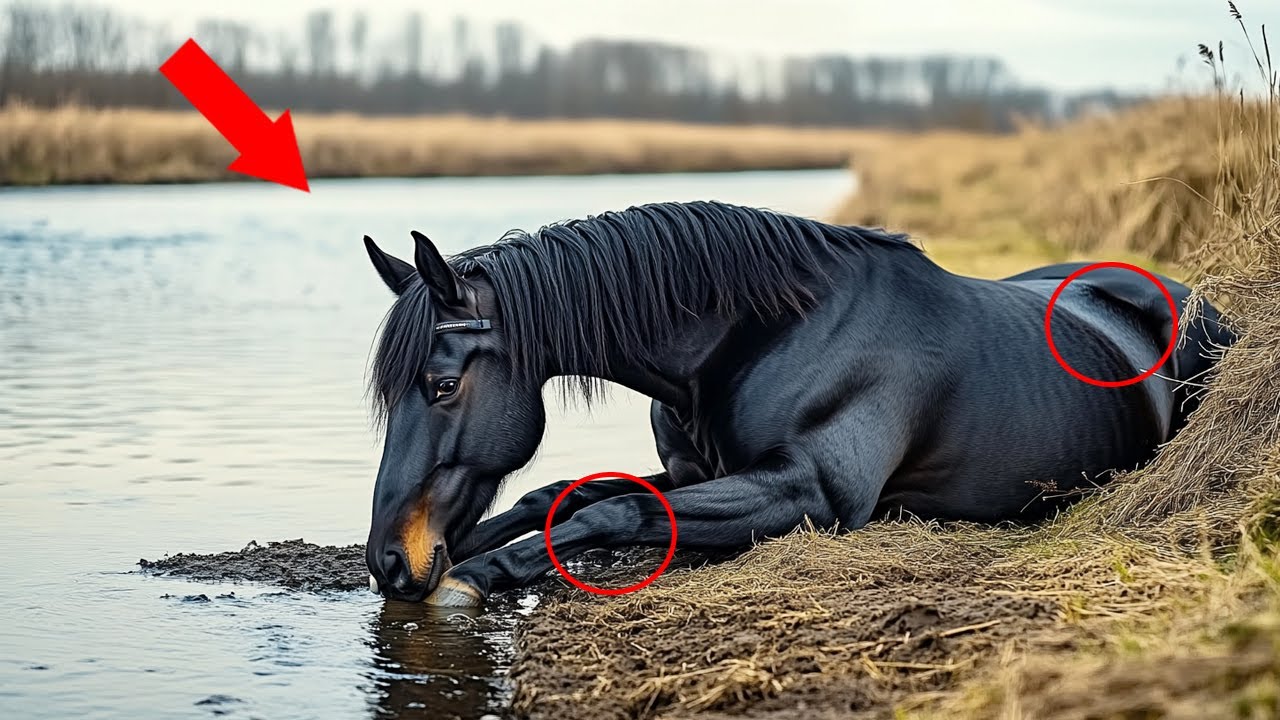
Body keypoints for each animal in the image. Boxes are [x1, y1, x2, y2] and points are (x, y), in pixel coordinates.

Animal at [360, 201, 1233, 606]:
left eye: (441, 386)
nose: (391, 560)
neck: (762, 333)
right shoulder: (695, 470)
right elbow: (559, 494)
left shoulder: (811, 492)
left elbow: (616, 511)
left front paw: (477, 575)